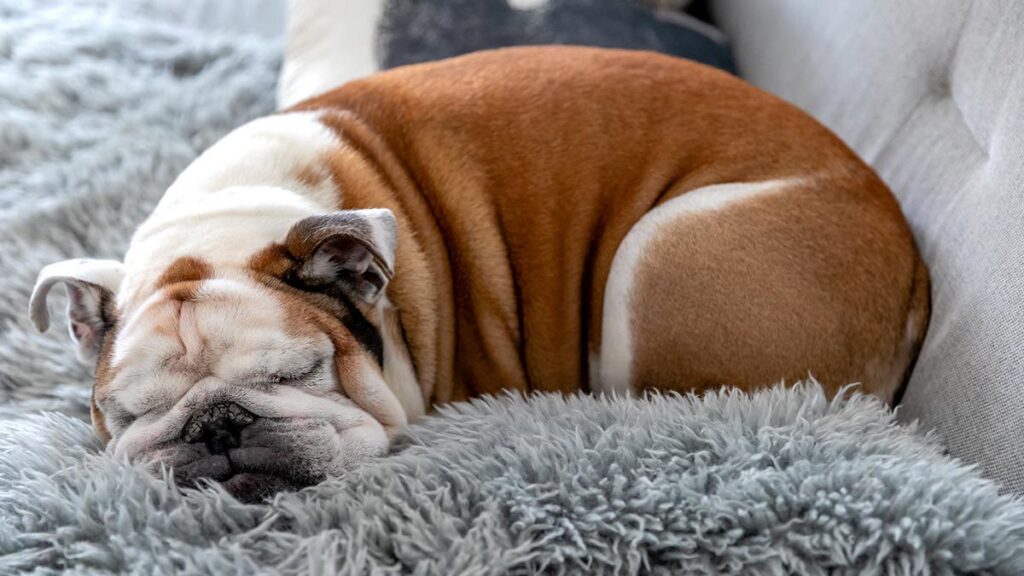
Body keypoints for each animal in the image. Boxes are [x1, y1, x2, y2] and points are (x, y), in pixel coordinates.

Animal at [29, 45, 929, 498]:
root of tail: (914, 271)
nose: (215, 427)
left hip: (660, 255)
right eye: (128, 412)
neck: (226, 221)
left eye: (301, 373)